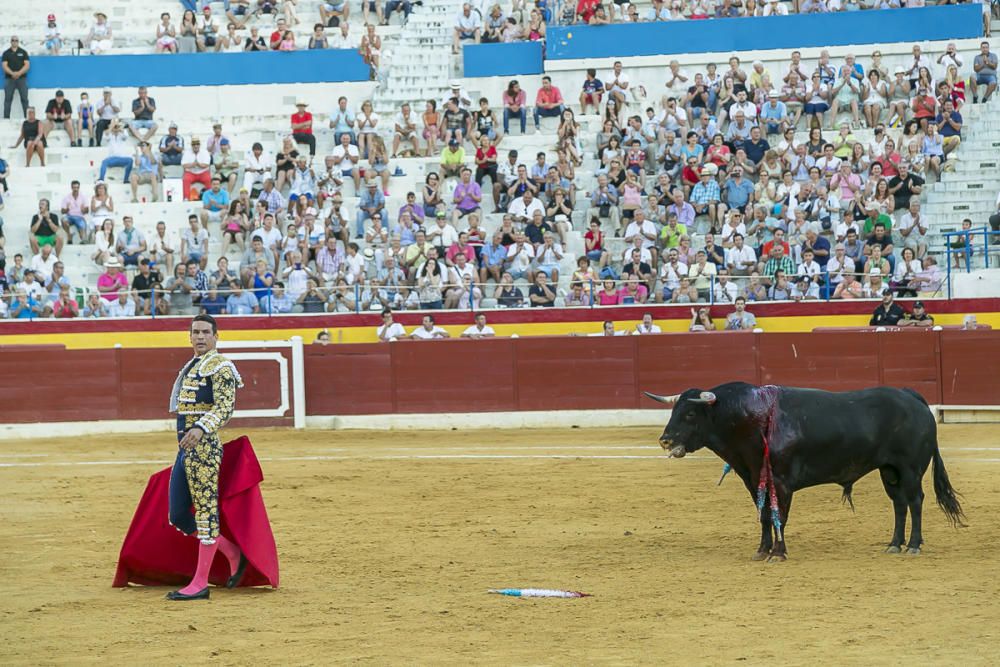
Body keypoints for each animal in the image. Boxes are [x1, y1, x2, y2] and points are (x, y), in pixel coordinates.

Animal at [644, 384, 964, 560]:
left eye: (689, 414)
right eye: (674, 412)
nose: (665, 440)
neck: (751, 419)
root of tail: (911, 397)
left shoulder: (781, 482)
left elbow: (779, 517)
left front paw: (778, 553)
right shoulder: (755, 480)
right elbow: (764, 516)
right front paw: (762, 551)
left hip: (910, 469)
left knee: (916, 501)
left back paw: (914, 546)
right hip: (889, 471)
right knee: (899, 503)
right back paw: (895, 544)